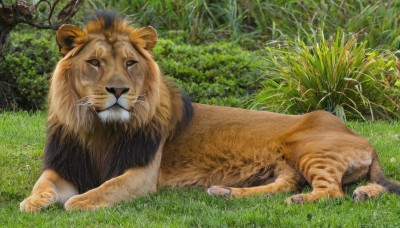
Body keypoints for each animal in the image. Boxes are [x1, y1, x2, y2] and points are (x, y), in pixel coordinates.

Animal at [20, 11, 398, 212]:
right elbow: (43, 184)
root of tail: (361, 137)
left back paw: (308, 199)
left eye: (129, 63)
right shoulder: (65, 163)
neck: (101, 129)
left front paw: (77, 202)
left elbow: (105, 189)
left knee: (330, 191)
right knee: (287, 184)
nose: (118, 91)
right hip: (286, 163)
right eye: (95, 63)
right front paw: (32, 202)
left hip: (309, 148)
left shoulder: (143, 173)